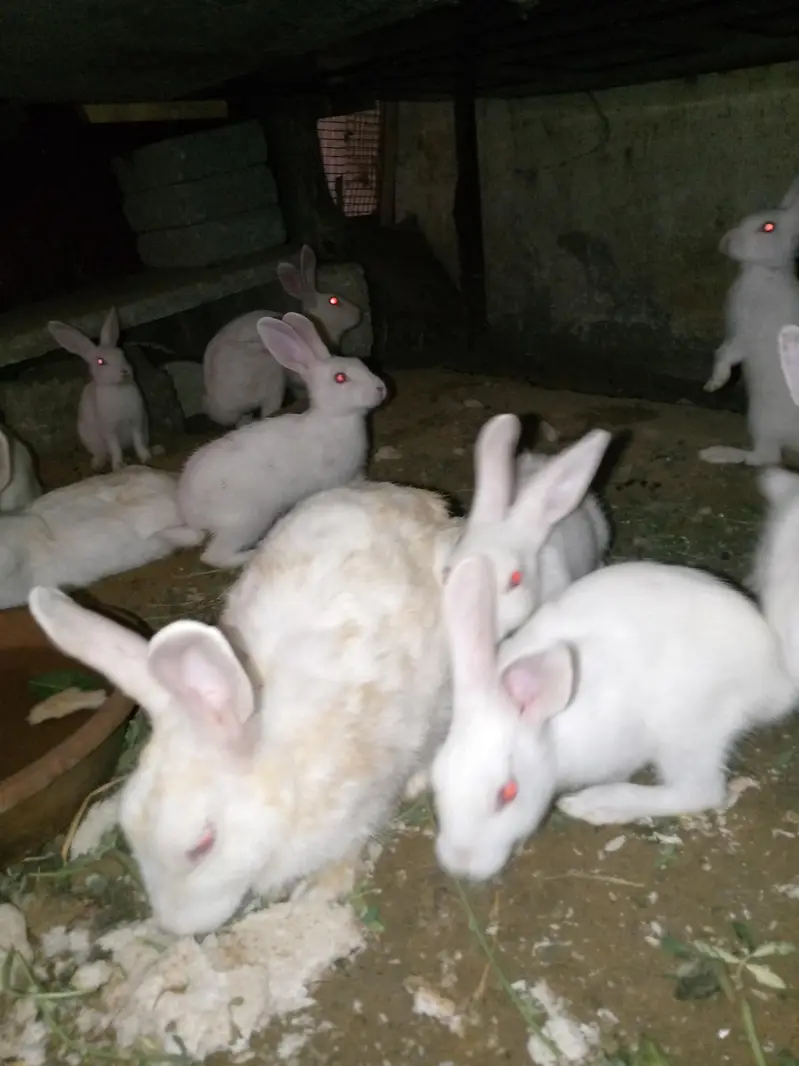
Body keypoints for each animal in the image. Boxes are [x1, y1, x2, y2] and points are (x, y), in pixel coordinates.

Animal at [27, 418, 611, 934]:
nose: (175, 927)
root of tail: (412, 496)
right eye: (132, 834)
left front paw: (321, 888)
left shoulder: (365, 799)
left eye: (201, 846)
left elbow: (353, 843)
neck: (278, 775)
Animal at [47, 307, 150, 471]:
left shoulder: (136, 420)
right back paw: (98, 464)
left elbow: (138, 440)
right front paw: (118, 466)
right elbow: (115, 447)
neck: (117, 388)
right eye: (101, 361)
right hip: (90, 439)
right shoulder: (109, 430)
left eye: (122, 354)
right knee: (101, 453)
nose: (125, 372)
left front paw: (146, 457)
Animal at [179, 312, 387, 570]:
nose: (381, 388)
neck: (335, 418)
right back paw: (251, 554)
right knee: (214, 555)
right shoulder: (335, 479)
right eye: (340, 378)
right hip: (246, 520)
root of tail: (189, 513)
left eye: (361, 364)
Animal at [430, 551, 798, 883]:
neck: (553, 738)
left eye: (507, 794)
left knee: (700, 791)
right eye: (437, 779)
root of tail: (776, 676)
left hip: (687, 731)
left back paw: (596, 804)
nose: (461, 867)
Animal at [699, 174, 799, 466]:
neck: (763, 272)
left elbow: (726, 354)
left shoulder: (749, 333)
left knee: (764, 457)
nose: (726, 242)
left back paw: (716, 453)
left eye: (768, 227)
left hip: (761, 416)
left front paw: (715, 383)